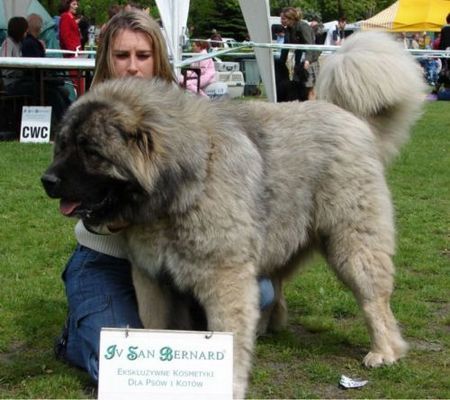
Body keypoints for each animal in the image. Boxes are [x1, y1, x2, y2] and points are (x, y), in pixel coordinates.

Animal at [42, 32, 426, 396]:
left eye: (91, 152)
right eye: (63, 145)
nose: (47, 180)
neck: (186, 178)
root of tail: (352, 119)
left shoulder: (223, 278)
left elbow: (227, 334)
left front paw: (228, 383)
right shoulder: (152, 277)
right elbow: (153, 324)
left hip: (350, 245)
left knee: (375, 301)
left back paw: (384, 351)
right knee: (277, 285)